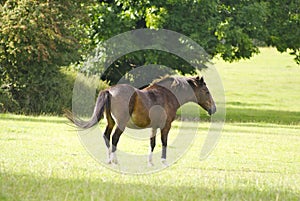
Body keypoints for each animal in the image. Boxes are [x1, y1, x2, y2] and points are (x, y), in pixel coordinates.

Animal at [65, 75, 216, 166]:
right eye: (206, 91)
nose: (213, 109)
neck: (167, 95)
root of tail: (109, 91)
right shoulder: (165, 126)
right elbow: (164, 142)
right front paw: (164, 161)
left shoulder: (154, 127)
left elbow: (152, 143)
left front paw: (150, 162)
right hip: (120, 124)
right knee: (114, 138)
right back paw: (115, 160)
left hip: (111, 122)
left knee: (106, 136)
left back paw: (109, 160)